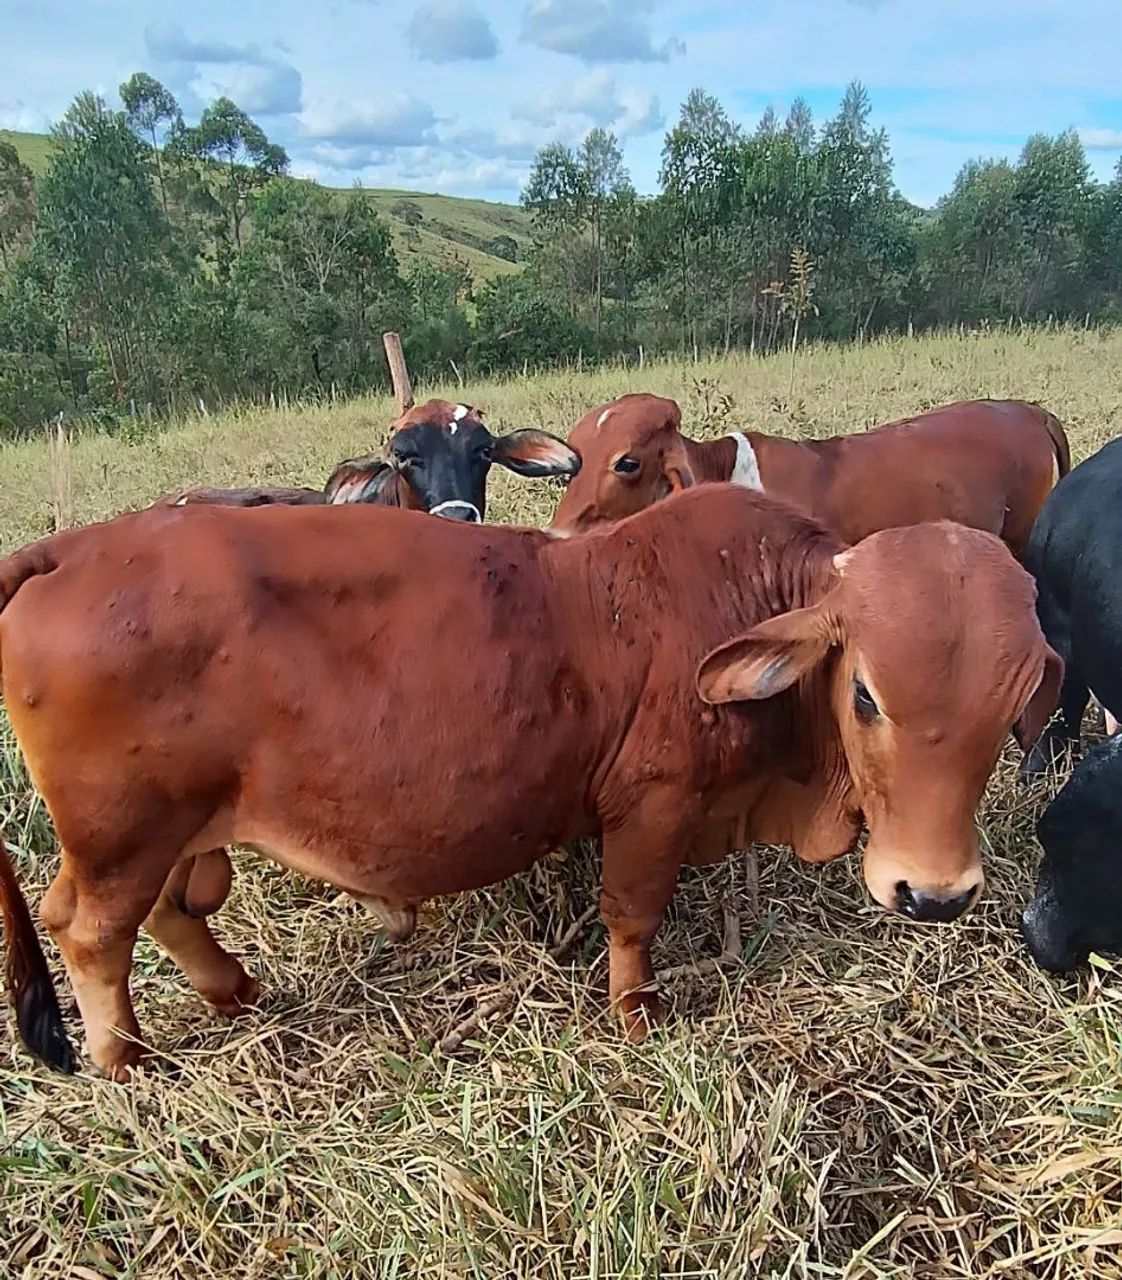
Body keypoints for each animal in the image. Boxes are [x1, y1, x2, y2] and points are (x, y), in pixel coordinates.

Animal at [0, 486, 1059, 1080]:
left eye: (1010, 712)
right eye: (868, 694)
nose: (934, 894)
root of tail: (73, 548)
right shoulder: (654, 807)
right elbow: (632, 917)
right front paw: (636, 1018)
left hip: (160, 832)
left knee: (153, 912)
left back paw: (234, 992)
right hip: (126, 834)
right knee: (91, 936)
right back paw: (126, 1063)